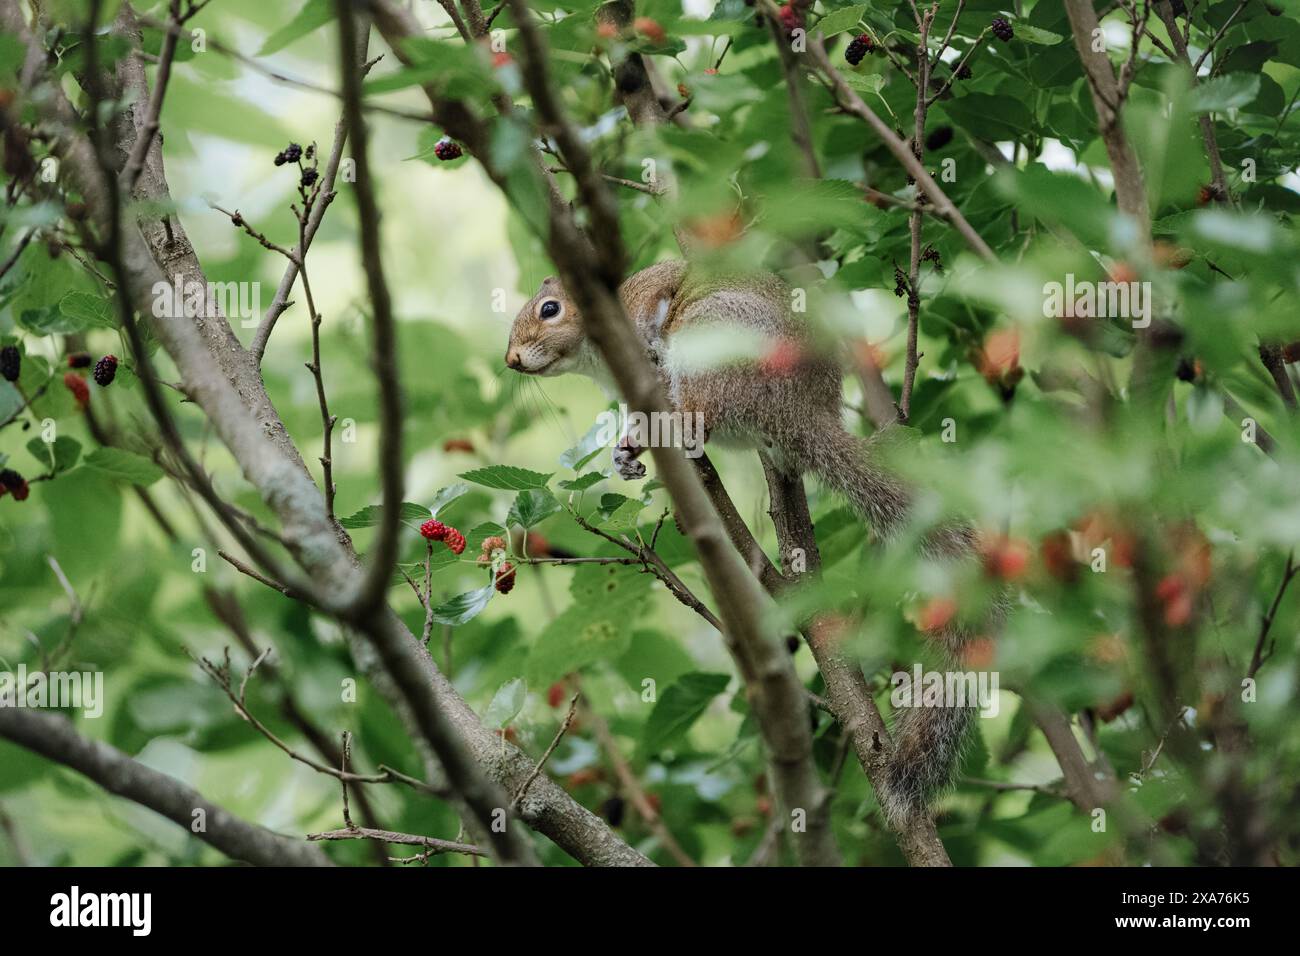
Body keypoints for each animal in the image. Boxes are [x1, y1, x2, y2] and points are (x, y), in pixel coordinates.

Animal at [506, 259, 976, 823]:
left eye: (549, 310)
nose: (511, 359)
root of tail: (799, 410)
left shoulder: (644, 298)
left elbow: (658, 298)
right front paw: (624, 454)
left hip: (715, 338)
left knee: (703, 405)